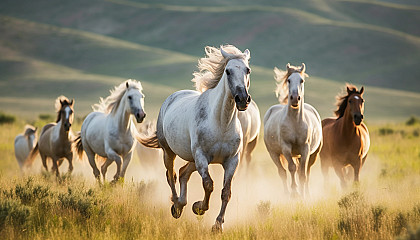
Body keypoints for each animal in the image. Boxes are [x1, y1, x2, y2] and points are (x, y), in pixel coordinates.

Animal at [139, 44, 253, 231]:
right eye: (228, 71)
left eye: (247, 70)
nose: (243, 99)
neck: (221, 123)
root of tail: (171, 98)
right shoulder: (202, 157)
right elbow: (208, 185)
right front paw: (199, 208)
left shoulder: (231, 161)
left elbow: (226, 192)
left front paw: (217, 225)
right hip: (169, 152)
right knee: (171, 175)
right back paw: (177, 206)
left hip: (192, 158)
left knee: (183, 173)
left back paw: (183, 203)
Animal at [264, 62, 324, 198]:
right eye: (289, 80)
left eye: (302, 80)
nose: (295, 98)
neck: (295, 122)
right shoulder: (286, 148)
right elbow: (292, 168)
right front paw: (295, 192)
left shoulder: (305, 149)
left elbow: (302, 174)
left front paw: (303, 195)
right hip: (273, 154)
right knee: (282, 172)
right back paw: (287, 194)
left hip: (311, 154)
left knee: (306, 171)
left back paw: (307, 192)